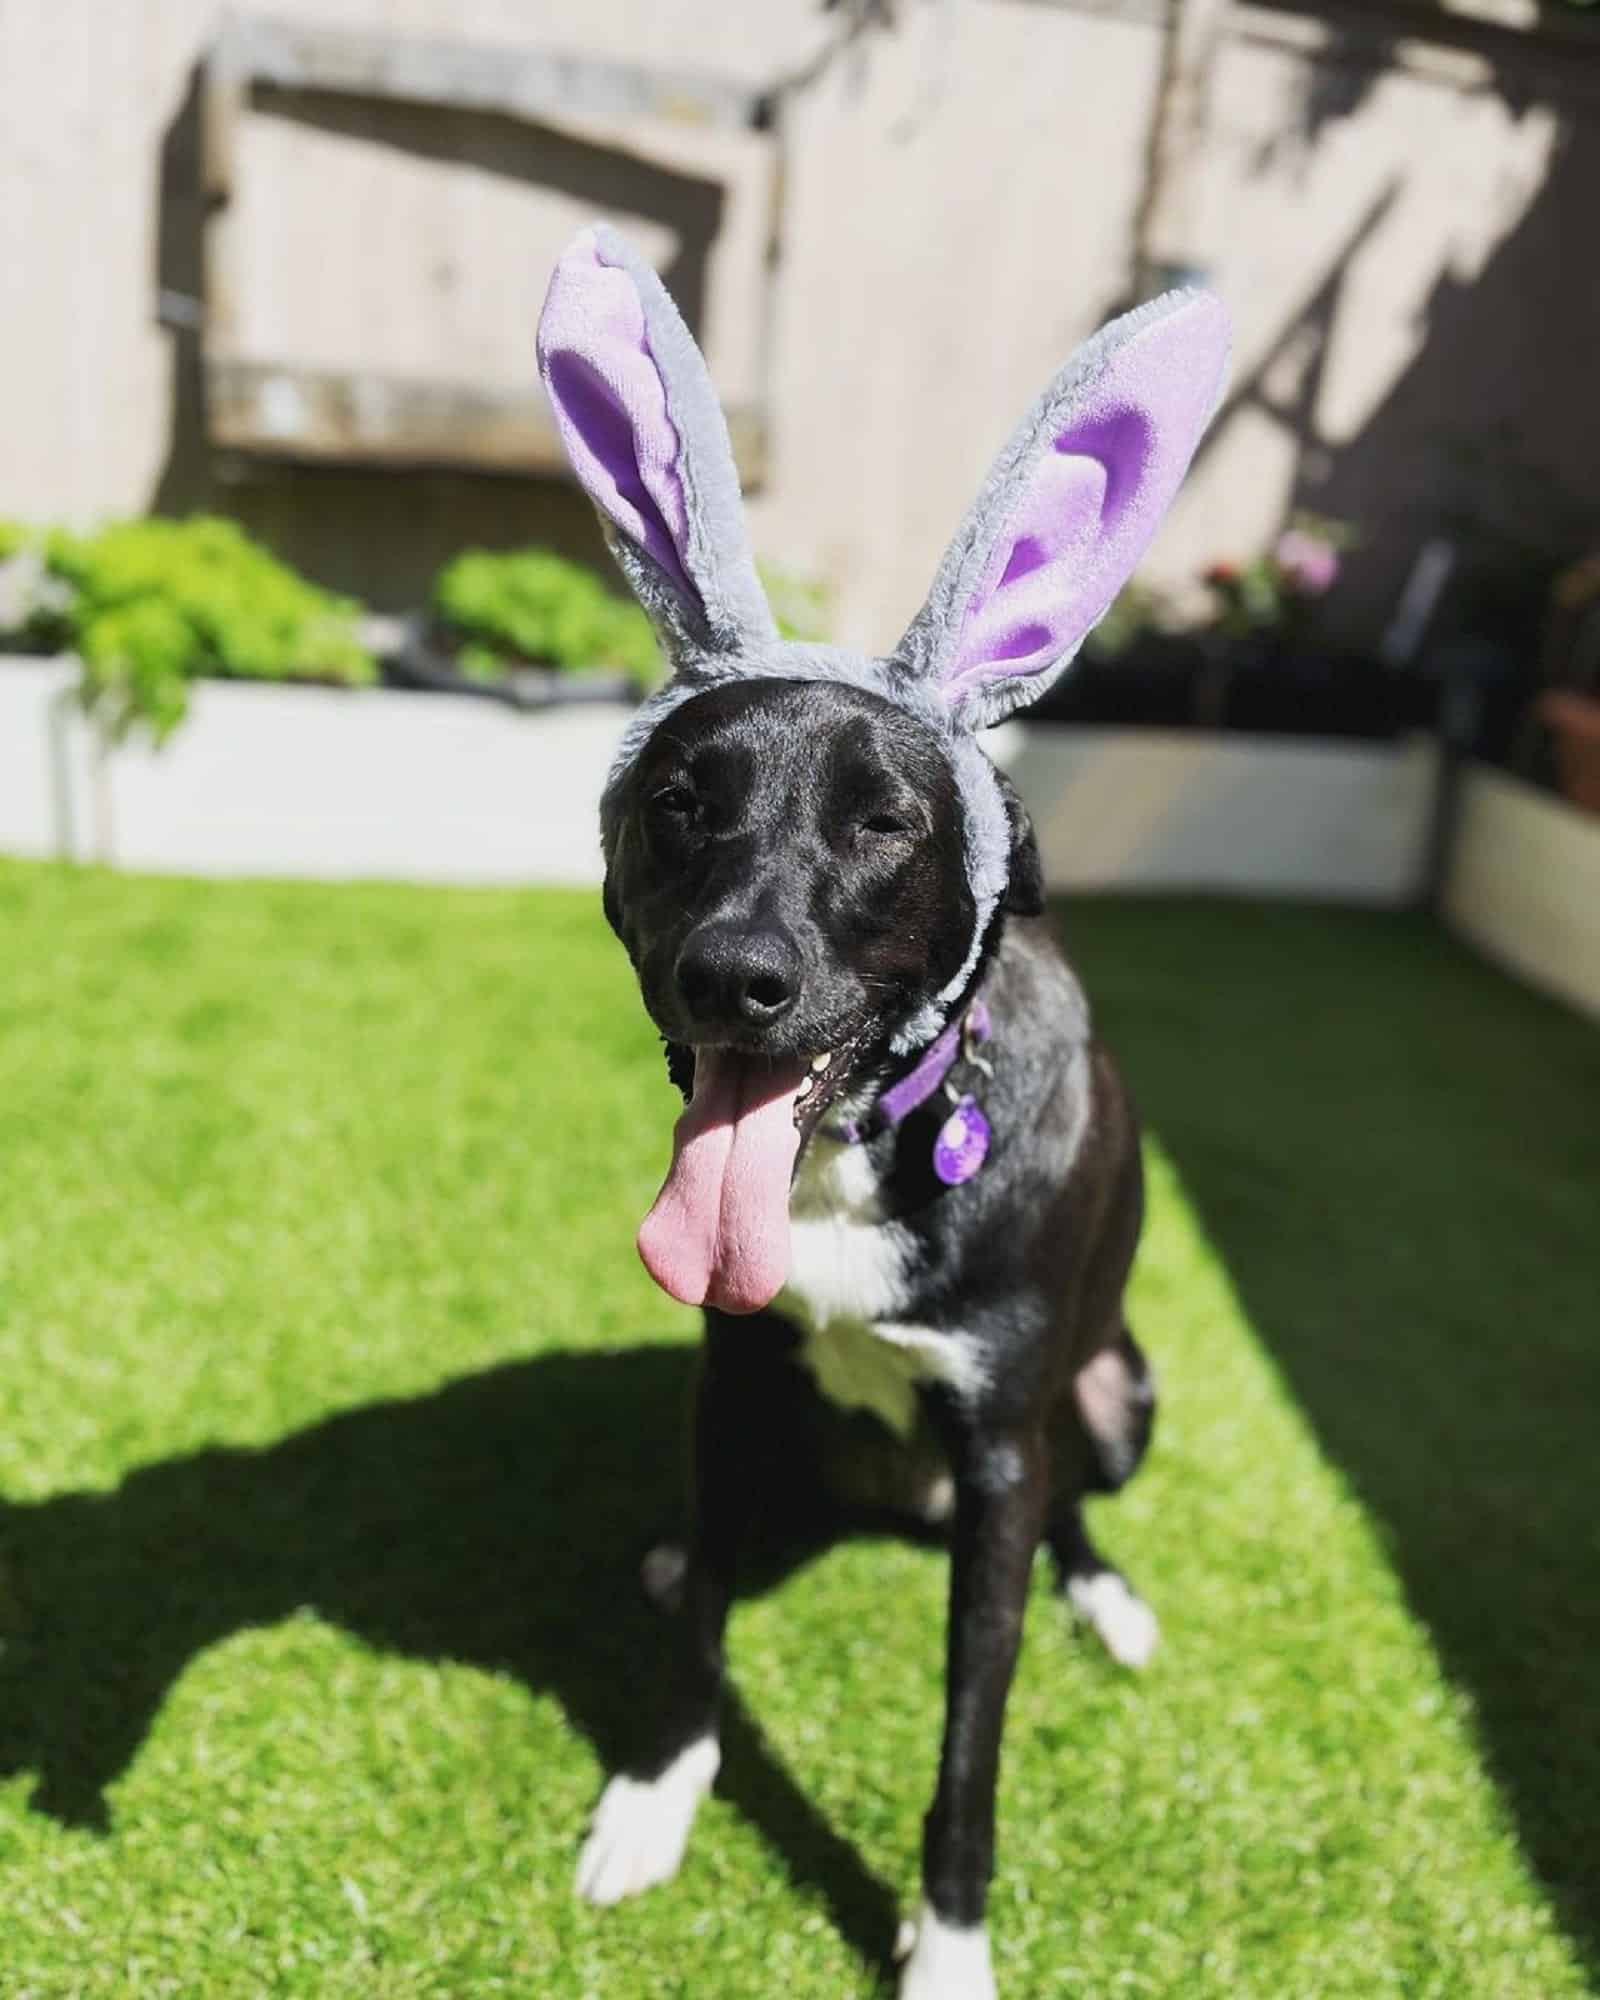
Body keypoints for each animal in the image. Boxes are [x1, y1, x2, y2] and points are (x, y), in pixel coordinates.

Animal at [536, 227, 1224, 1992]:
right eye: (679, 805)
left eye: (886, 824)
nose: (734, 979)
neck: (860, 1152)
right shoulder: (727, 1371)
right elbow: (709, 1613)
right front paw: (655, 1796)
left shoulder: (999, 1450)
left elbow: (968, 1745)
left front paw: (949, 1943)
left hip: (1114, 1396)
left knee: (1074, 1508)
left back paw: (1111, 1601)